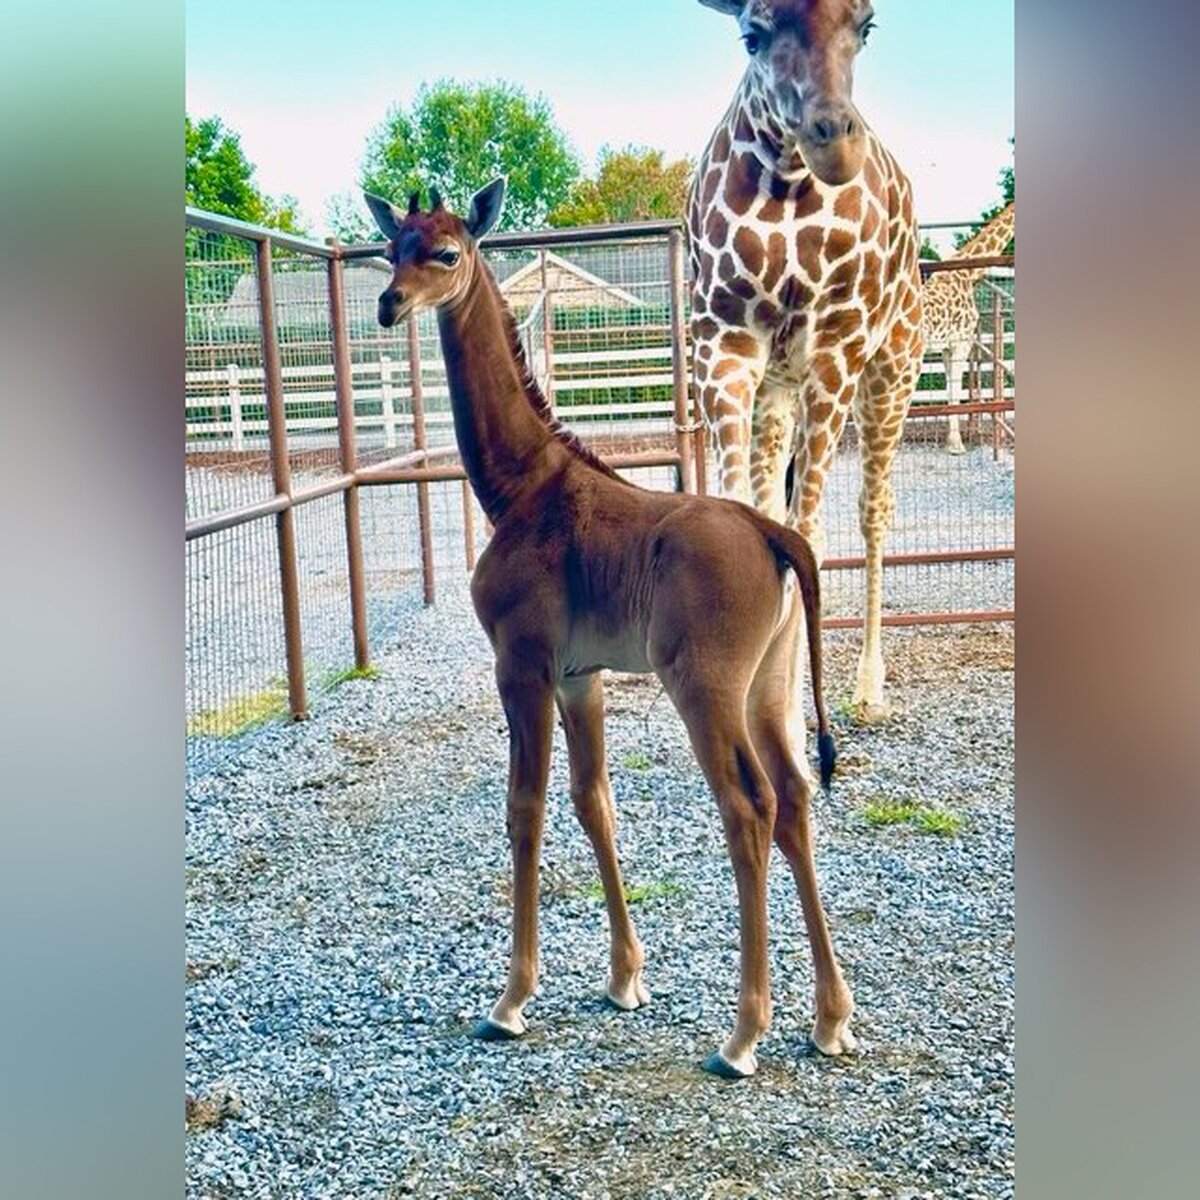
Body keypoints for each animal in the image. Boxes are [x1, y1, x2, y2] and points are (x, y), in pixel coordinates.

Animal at [364, 180, 854, 1080]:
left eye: (446, 252)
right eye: (393, 248)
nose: (389, 303)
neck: (518, 487)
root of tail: (776, 534)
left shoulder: (521, 664)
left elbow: (525, 806)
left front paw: (511, 1000)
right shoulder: (578, 676)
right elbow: (595, 802)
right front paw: (625, 978)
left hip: (706, 687)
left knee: (750, 805)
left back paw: (742, 1037)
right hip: (770, 686)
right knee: (797, 797)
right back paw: (831, 1019)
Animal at [686, 0, 926, 729]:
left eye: (866, 25)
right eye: (752, 34)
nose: (834, 141)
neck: (787, 185)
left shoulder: (836, 349)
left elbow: (807, 534)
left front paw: (790, 718)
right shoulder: (724, 345)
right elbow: (748, 518)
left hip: (891, 371)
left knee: (874, 509)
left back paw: (869, 688)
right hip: (777, 388)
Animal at [921, 201, 1017, 453]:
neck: (967, 272)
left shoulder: (947, 347)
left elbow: (950, 389)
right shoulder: (961, 342)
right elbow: (955, 391)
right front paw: (956, 444)